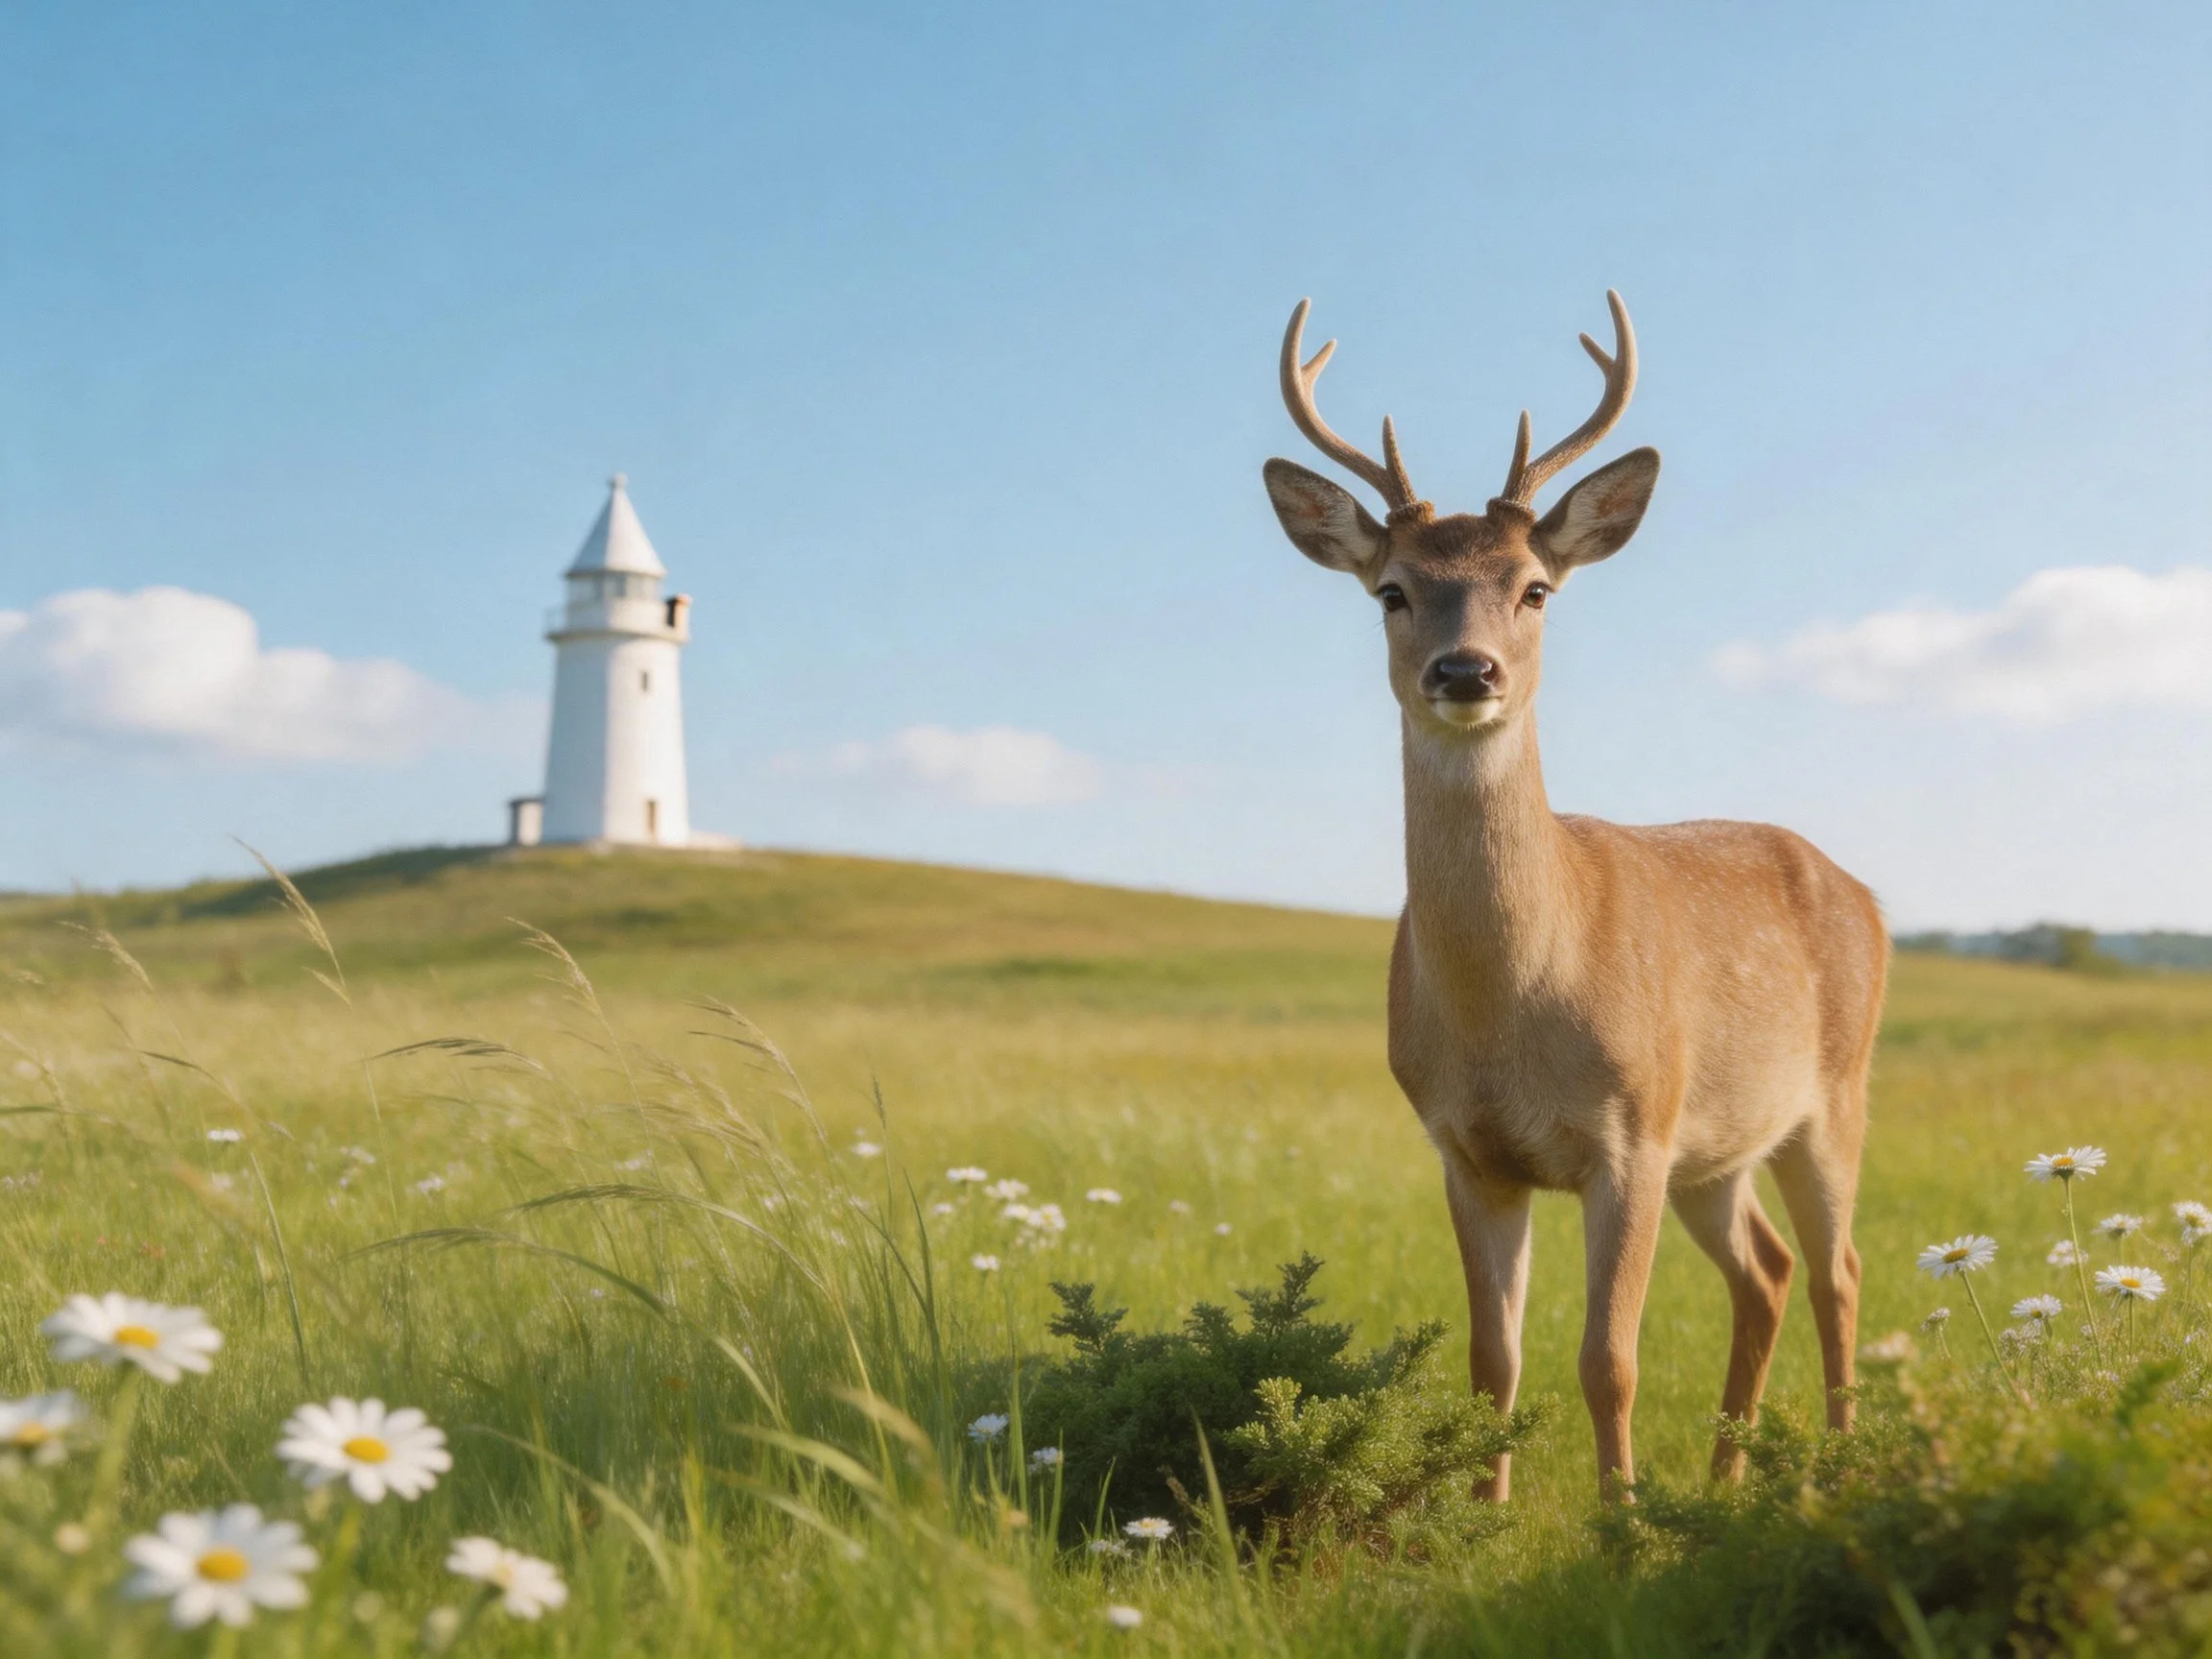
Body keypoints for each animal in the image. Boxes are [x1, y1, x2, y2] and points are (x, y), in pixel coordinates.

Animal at [1261, 292, 1888, 1501]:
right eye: (1392, 591)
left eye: (1535, 588)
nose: (1465, 672)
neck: (1514, 1004)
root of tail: (1865, 892)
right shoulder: (1466, 1150)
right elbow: (1491, 1361)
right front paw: (1487, 1515)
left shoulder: (1631, 1130)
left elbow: (1609, 1359)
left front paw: (1620, 1518)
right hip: (1718, 1147)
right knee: (1770, 1270)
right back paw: (1725, 1478)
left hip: (1831, 1094)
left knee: (1838, 1267)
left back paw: (1831, 1469)